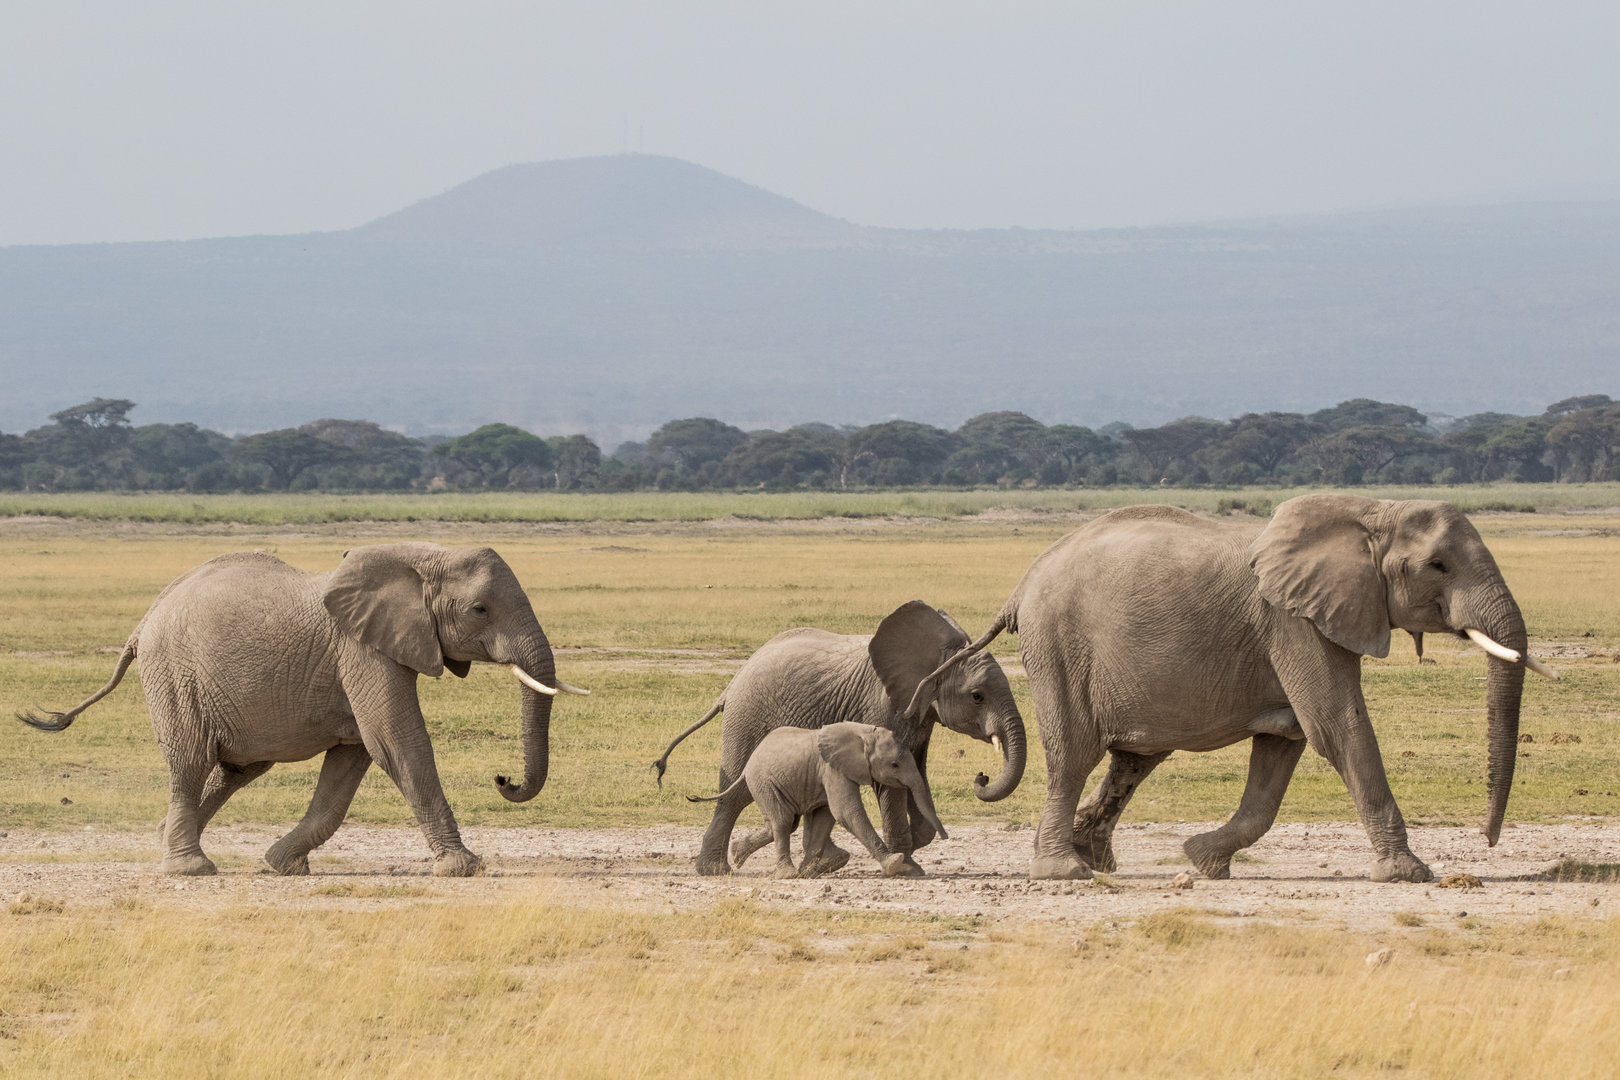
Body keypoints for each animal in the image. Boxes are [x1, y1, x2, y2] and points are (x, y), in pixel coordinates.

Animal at [19, 543, 587, 877]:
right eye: (479, 609)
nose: (503, 779)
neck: (421, 557)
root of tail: (141, 624)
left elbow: (354, 758)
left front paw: (282, 865)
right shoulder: (363, 650)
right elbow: (397, 742)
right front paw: (463, 866)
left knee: (235, 769)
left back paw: (165, 840)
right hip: (174, 675)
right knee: (191, 762)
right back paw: (190, 868)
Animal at [687, 722, 948, 878]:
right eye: (894, 765)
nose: (945, 837)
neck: (863, 732)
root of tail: (748, 763)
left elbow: (826, 816)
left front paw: (810, 872)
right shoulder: (832, 768)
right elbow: (846, 812)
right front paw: (895, 863)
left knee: (780, 823)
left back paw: (738, 854)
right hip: (763, 780)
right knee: (782, 821)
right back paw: (787, 874)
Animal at [920, 496, 1556, 883]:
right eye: (1438, 566)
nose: (1487, 841)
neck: (1369, 510)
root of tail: (1021, 585)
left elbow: (1284, 749)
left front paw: (1203, 861)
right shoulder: (1294, 623)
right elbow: (1336, 726)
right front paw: (1408, 874)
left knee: (1134, 757)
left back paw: (1094, 858)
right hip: (1058, 644)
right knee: (1074, 753)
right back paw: (1066, 871)